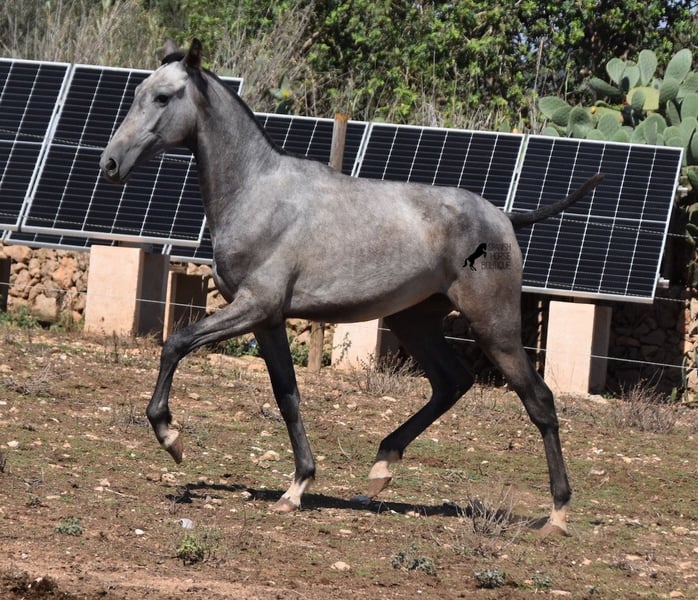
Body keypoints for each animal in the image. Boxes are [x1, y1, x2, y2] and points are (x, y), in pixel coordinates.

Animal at [100, 39, 603, 535]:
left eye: (163, 97)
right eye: (136, 93)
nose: (110, 163)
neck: (256, 194)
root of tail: (504, 218)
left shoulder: (253, 306)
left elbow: (176, 343)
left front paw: (171, 437)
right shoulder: (268, 320)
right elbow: (287, 396)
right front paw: (296, 488)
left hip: (493, 325)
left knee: (539, 400)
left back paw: (557, 515)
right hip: (413, 321)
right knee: (451, 382)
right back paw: (381, 468)